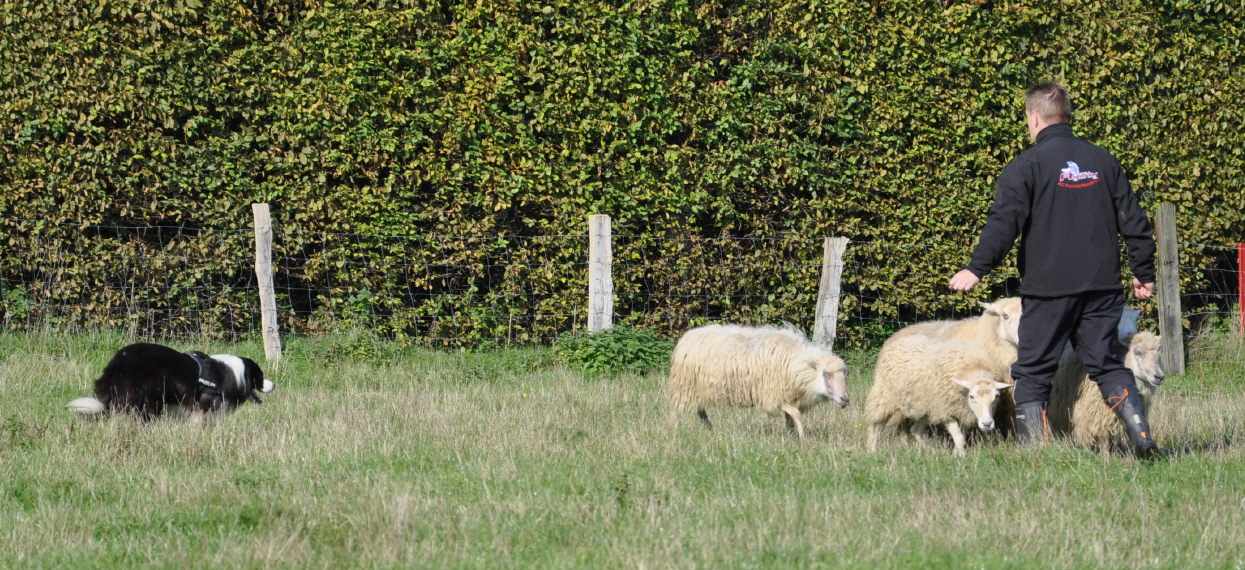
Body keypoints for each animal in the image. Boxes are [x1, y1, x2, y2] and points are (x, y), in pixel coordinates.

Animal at [67, 343, 275, 421]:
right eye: (260, 377)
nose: (274, 385)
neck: (234, 374)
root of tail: (117, 364)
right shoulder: (203, 406)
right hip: (150, 394)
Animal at [667, 323, 850, 439]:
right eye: (826, 374)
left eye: (844, 375)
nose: (845, 399)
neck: (795, 362)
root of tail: (689, 336)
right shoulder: (774, 395)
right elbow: (795, 414)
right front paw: (802, 437)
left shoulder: (787, 394)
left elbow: (790, 416)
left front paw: (791, 434)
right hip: (684, 387)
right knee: (675, 411)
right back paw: (675, 431)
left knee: (700, 410)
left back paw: (709, 428)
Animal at [865, 335, 1013, 456]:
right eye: (972, 397)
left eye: (996, 397)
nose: (987, 424)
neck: (974, 368)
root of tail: (901, 340)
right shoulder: (946, 412)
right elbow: (959, 438)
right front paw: (961, 457)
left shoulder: (963, 413)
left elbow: (961, 437)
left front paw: (956, 454)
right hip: (885, 396)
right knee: (876, 426)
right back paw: (872, 450)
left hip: (924, 406)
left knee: (917, 431)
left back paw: (927, 450)